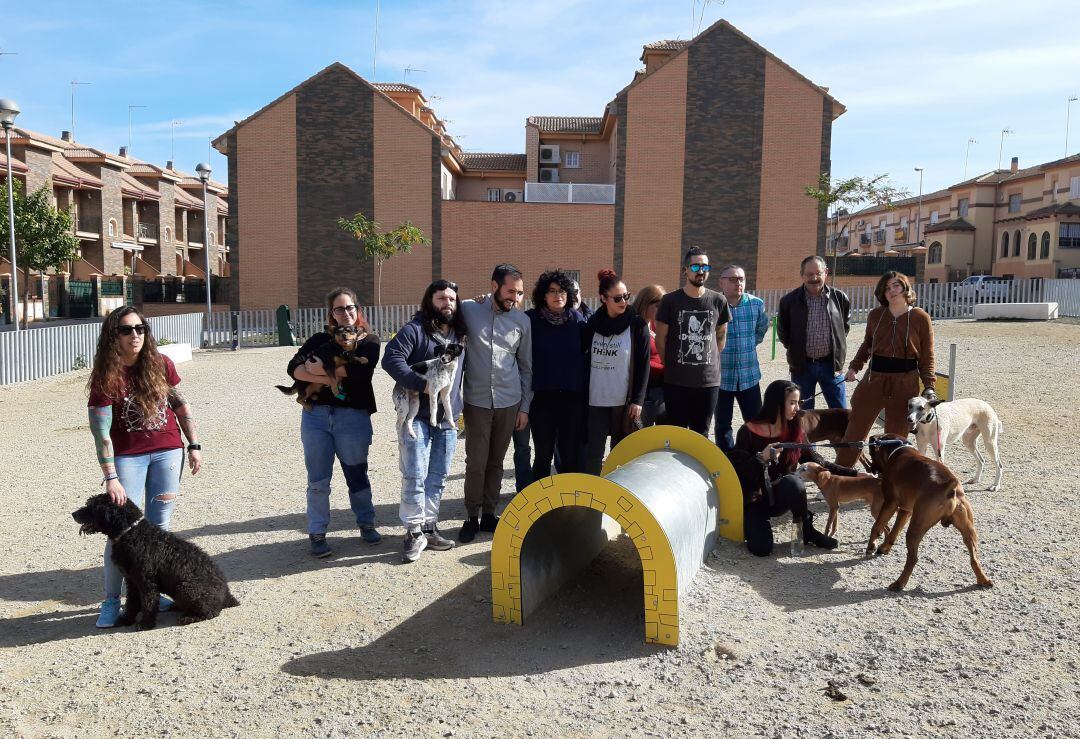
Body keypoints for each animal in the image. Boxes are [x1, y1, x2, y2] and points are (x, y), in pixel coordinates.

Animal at [72, 492, 239, 626]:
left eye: (92, 507)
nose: (73, 514)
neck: (132, 533)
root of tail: (227, 595)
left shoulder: (147, 582)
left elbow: (148, 603)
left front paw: (146, 624)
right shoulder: (132, 581)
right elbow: (131, 603)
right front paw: (126, 620)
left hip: (185, 588)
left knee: (210, 612)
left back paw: (190, 617)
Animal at [864, 432, 989, 596]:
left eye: (871, 453)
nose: (871, 469)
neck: (898, 448)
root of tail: (949, 487)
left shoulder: (890, 504)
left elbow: (877, 525)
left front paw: (870, 547)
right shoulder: (906, 510)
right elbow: (894, 532)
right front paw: (884, 548)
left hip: (915, 529)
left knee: (913, 559)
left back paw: (899, 583)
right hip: (968, 531)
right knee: (974, 557)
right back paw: (984, 580)